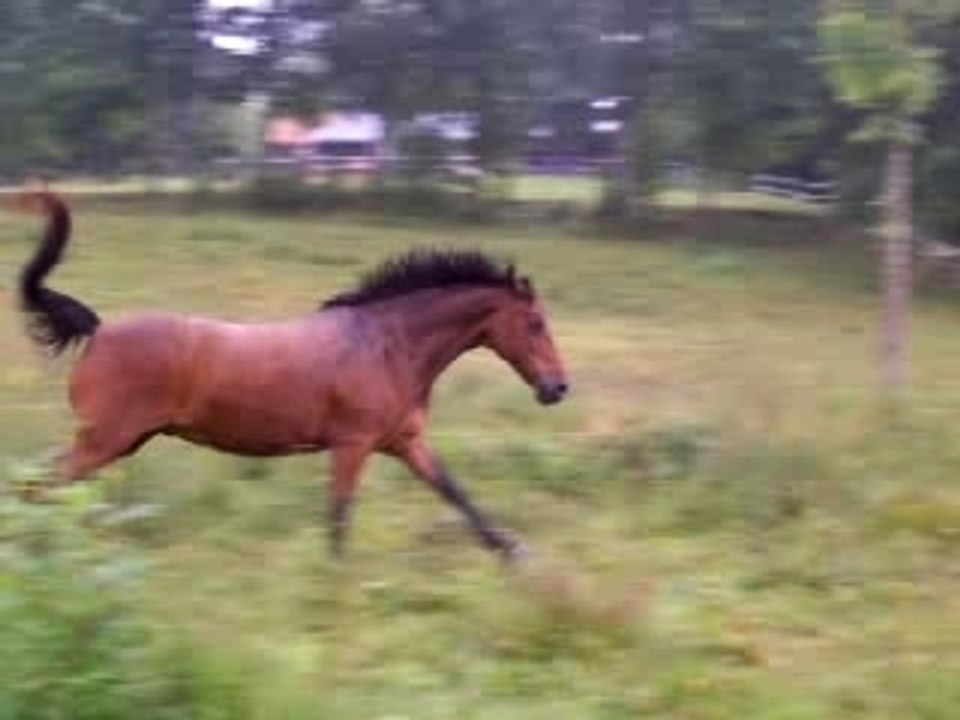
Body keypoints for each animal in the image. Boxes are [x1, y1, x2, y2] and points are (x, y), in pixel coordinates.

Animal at [13, 191, 569, 562]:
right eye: (536, 323)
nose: (558, 388)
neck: (388, 346)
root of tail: (99, 329)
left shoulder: (405, 442)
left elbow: (457, 494)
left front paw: (514, 553)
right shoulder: (352, 445)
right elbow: (339, 518)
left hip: (119, 442)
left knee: (44, 485)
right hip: (103, 440)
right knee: (42, 486)